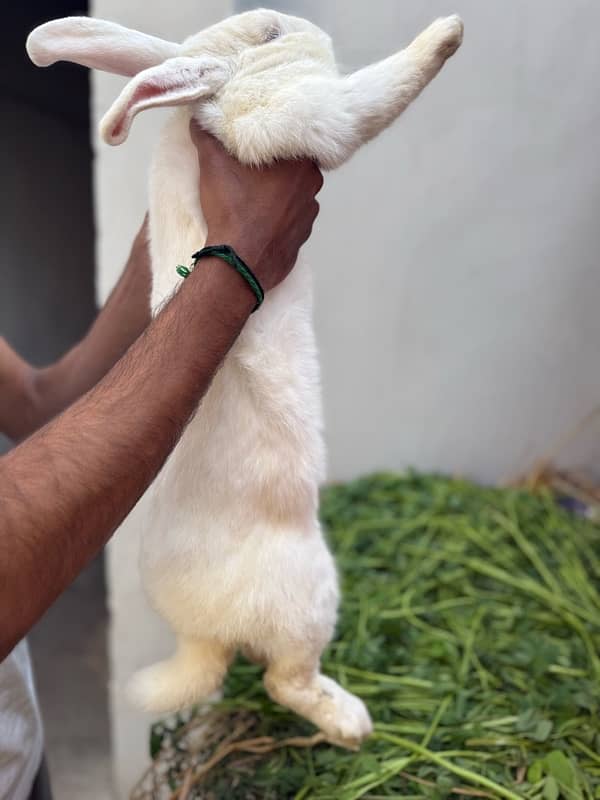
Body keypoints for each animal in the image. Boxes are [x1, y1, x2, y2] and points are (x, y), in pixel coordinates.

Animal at [25, 7, 462, 752]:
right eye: (268, 37)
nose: (301, 24)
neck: (211, 104)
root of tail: (205, 634)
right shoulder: (311, 116)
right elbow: (376, 94)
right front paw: (447, 33)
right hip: (311, 598)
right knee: (285, 680)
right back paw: (354, 723)